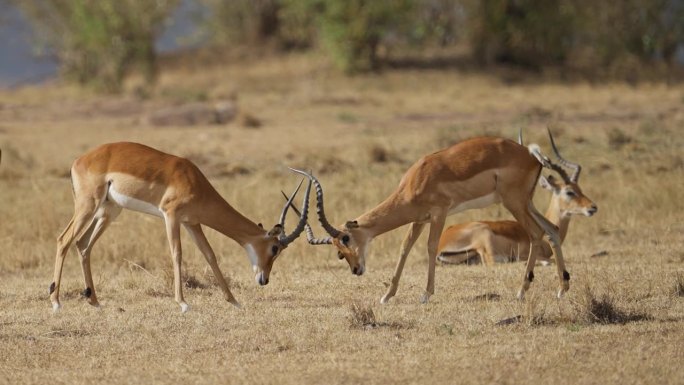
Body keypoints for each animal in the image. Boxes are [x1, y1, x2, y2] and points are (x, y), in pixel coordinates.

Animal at [49, 142, 312, 312]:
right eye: (275, 248)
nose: (264, 279)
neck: (194, 181)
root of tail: (79, 160)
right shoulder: (171, 216)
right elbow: (177, 254)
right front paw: (183, 303)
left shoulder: (192, 222)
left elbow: (210, 255)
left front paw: (234, 301)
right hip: (88, 206)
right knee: (63, 239)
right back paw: (56, 302)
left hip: (109, 212)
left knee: (83, 244)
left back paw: (94, 301)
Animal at [292, 129, 576, 304]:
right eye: (339, 253)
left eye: (346, 240)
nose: (356, 270)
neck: (415, 181)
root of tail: (533, 157)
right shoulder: (420, 219)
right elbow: (405, 248)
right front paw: (386, 296)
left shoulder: (439, 214)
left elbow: (429, 247)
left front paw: (425, 294)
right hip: (526, 202)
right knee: (551, 229)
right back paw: (562, 289)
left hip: (513, 202)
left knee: (536, 233)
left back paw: (521, 291)